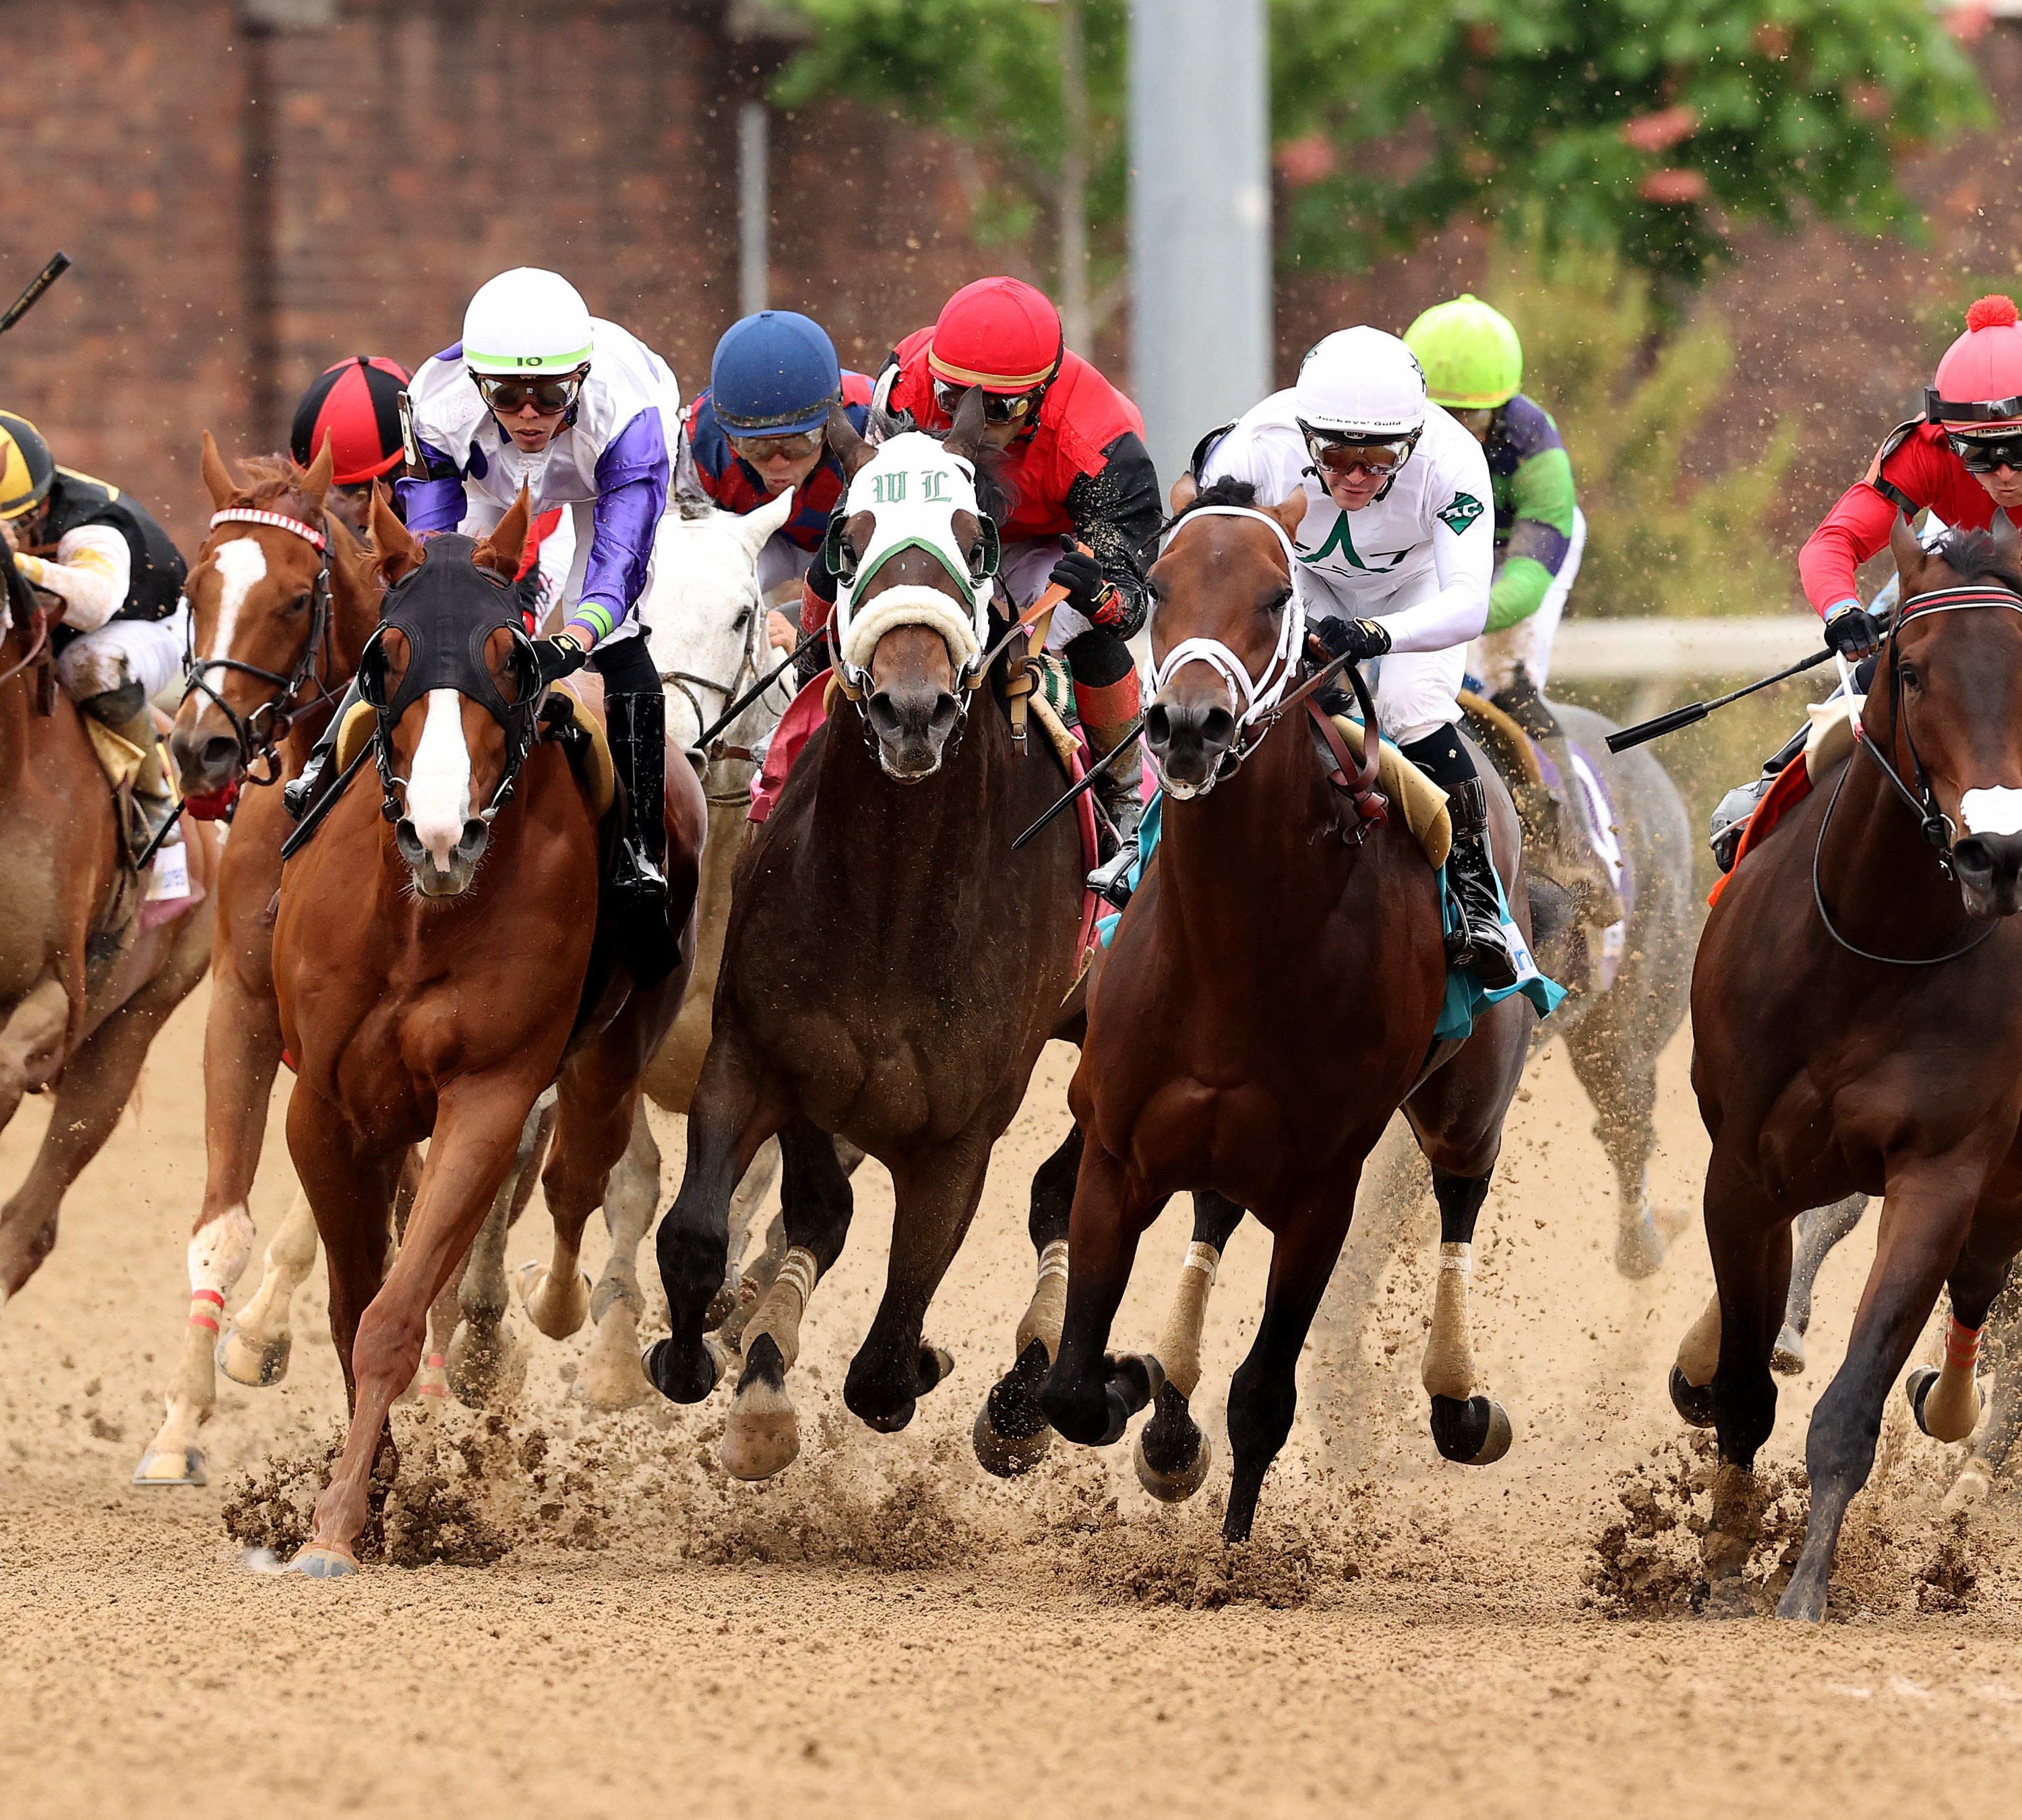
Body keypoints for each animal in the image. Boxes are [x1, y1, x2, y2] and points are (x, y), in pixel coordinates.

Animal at [273, 491, 704, 1569]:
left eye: (512, 658)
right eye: (384, 656)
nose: (441, 836)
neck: (421, 917)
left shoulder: (488, 1095)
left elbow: (387, 1318)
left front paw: (339, 1525)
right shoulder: (327, 1107)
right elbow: (349, 1309)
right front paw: (371, 1490)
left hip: (610, 1066)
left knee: (577, 1177)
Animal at [643, 402, 1092, 1480]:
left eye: (977, 541)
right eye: (848, 542)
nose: (912, 707)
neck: (896, 894)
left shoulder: (962, 1135)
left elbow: (883, 1369)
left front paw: (925, 1364)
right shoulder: (760, 1056)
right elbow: (697, 1233)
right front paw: (699, 1358)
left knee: (1066, 1190)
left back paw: (1027, 1394)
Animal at [1043, 479, 1529, 1537]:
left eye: (1277, 598)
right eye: (1158, 584)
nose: (1190, 726)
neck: (1237, 950)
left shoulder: (1321, 1186)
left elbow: (1263, 1397)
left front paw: (1230, 1546)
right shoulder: (1118, 1150)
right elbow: (1074, 1388)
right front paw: (1140, 1388)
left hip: (1469, 1100)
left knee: (1460, 1197)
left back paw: (1461, 1403)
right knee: (1214, 1216)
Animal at [1682, 518, 2022, 1618]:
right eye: (1911, 672)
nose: (1997, 853)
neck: (1873, 948)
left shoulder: (1942, 1171)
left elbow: (1855, 1400)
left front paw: (1804, 1591)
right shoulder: (1742, 1168)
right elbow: (1744, 1390)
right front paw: (1720, 1565)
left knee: (1977, 1290)